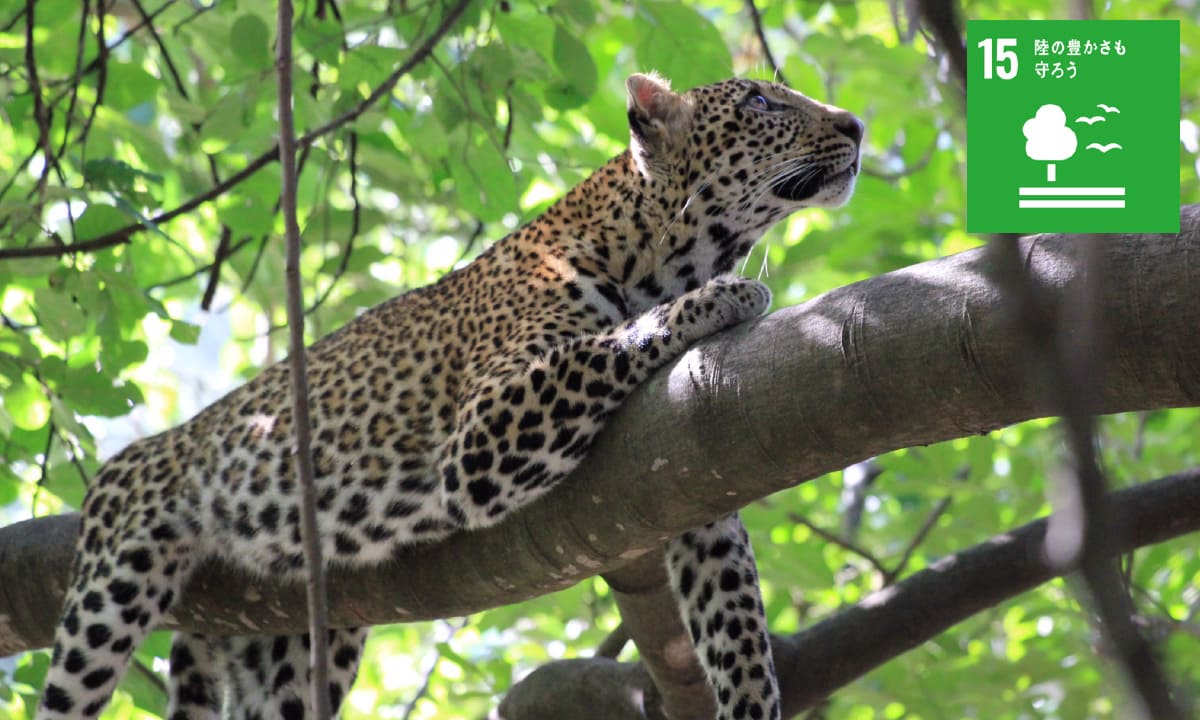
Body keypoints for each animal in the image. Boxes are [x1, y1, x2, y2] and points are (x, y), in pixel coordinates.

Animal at [39, 69, 864, 720]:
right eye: (761, 101)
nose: (855, 124)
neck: (670, 253)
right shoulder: (483, 435)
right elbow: (614, 339)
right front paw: (726, 297)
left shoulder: (691, 479)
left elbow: (736, 626)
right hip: (114, 578)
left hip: (296, 650)